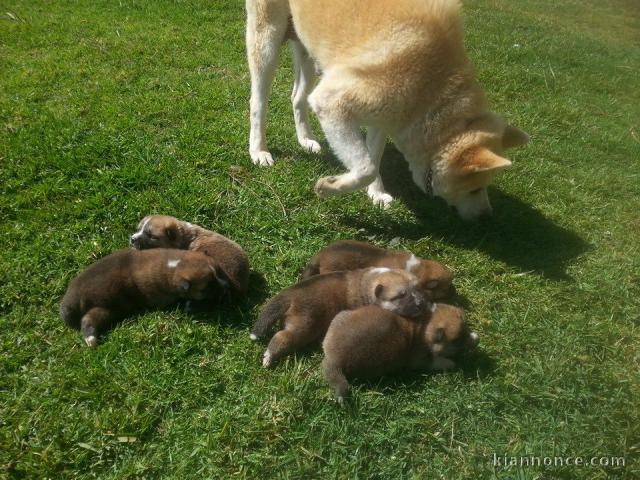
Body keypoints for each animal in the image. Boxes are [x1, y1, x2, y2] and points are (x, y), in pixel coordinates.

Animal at [58, 249, 228, 346]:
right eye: (207, 288)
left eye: (219, 271)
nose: (226, 286)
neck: (175, 266)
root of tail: (74, 296)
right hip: (104, 305)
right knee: (87, 320)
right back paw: (91, 339)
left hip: (105, 309)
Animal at [245, 0, 528, 219]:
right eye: (475, 189)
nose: (486, 216)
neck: (433, 88)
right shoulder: (333, 102)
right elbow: (367, 168)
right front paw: (330, 187)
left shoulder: (383, 116)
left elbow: (373, 157)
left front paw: (376, 193)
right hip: (267, 37)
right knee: (258, 101)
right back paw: (259, 150)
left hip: (306, 46)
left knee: (298, 97)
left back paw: (306, 139)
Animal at [252, 266, 428, 368]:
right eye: (401, 295)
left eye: (418, 289)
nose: (421, 304)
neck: (368, 284)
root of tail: (289, 294)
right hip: (302, 327)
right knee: (282, 337)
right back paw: (268, 358)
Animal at [322, 304, 478, 402]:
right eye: (457, 340)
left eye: (466, 327)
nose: (477, 341)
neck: (424, 327)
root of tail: (335, 360)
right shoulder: (420, 360)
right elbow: (438, 361)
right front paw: (452, 363)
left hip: (340, 317)